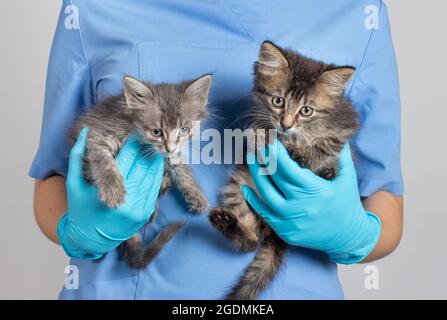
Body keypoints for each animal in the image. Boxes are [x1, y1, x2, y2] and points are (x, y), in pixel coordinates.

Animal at [72, 74, 213, 268]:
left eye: (184, 130)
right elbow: (104, 162)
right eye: (156, 132)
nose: (170, 148)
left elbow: (179, 167)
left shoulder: (170, 155)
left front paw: (196, 194)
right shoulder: (97, 134)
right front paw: (113, 189)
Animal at [208, 42, 358, 300]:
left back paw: (326, 174)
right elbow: (257, 133)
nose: (286, 125)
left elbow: (324, 144)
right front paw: (265, 136)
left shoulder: (345, 126)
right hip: (239, 184)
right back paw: (227, 222)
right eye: (278, 101)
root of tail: (274, 231)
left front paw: (304, 155)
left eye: (306, 111)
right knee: (250, 242)